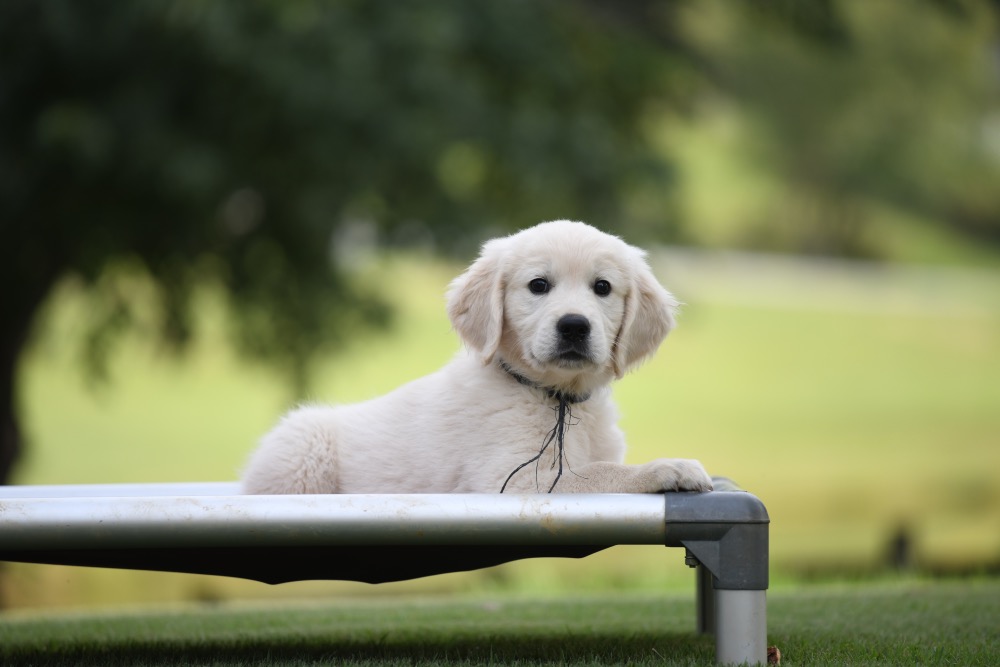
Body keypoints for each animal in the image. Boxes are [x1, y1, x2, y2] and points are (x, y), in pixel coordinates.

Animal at [241, 220, 712, 496]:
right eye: (538, 285)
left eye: (603, 288)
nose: (575, 326)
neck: (554, 397)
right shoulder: (513, 480)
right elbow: (596, 473)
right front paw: (668, 468)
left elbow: (599, 465)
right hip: (303, 452)